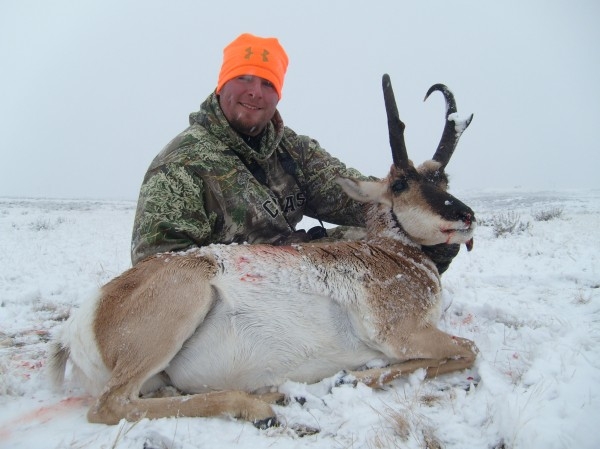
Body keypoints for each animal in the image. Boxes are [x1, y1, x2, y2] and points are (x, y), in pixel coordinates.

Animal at [48, 73, 478, 428]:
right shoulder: (403, 335)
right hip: (182, 300)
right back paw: (259, 405)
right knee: (110, 405)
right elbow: (468, 350)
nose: (467, 216)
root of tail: (85, 317)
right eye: (401, 184)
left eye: (443, 179)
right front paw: (346, 378)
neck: (391, 254)